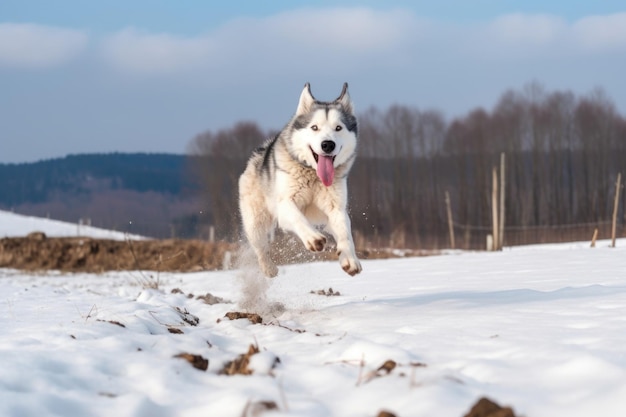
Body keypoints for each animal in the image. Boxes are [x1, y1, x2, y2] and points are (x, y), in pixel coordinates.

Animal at [238, 81, 360, 276]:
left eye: (338, 128)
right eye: (314, 127)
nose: (327, 144)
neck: (314, 176)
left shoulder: (336, 209)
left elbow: (345, 234)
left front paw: (350, 259)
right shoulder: (285, 204)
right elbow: (298, 219)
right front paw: (313, 239)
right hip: (256, 221)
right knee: (260, 247)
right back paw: (268, 268)